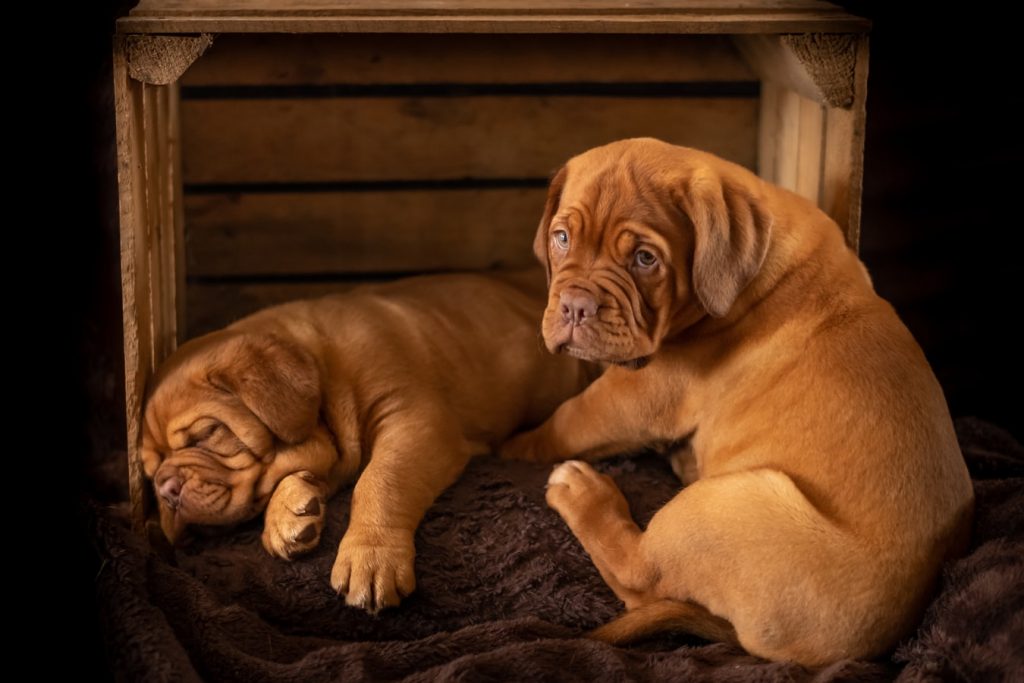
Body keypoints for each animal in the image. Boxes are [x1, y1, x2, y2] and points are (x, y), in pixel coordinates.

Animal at [144, 272, 593, 614]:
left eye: (207, 434)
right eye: (149, 471)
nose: (165, 489)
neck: (325, 366)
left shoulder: (413, 419)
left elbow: (381, 480)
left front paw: (371, 555)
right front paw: (287, 514)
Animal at [503, 139, 974, 667]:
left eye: (645, 259)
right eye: (561, 238)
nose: (574, 306)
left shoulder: (640, 392)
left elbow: (569, 418)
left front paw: (512, 447)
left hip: (722, 509)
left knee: (642, 578)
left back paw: (582, 491)